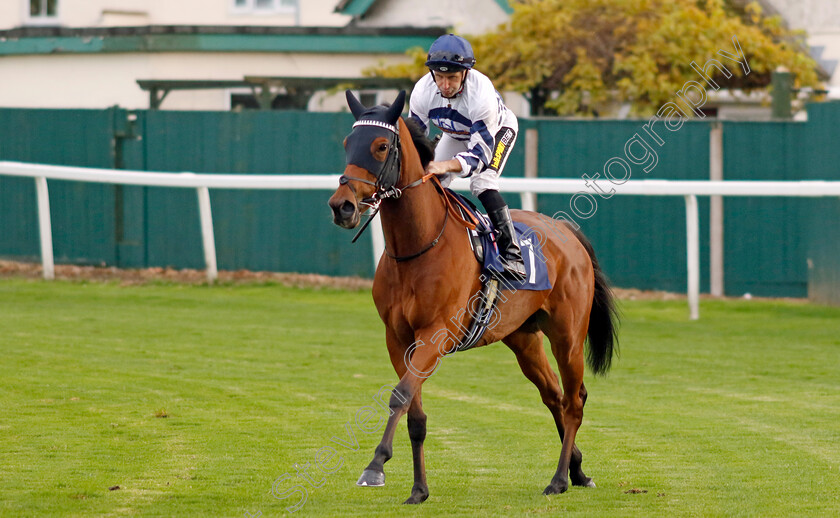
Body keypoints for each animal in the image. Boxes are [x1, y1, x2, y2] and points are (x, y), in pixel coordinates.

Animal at [328, 91, 616, 506]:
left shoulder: (435, 334)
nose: (342, 206)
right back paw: (577, 470)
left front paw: (375, 465)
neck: (417, 246)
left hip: (568, 335)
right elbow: (414, 413)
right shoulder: (397, 338)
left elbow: (399, 396)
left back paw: (559, 478)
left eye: (381, 146)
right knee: (554, 396)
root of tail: (566, 231)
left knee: (574, 400)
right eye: (347, 143)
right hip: (524, 338)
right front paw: (419, 489)